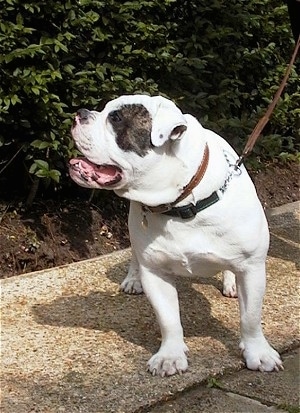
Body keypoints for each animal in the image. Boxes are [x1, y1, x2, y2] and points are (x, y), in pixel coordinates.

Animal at [69, 95, 284, 374]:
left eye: (115, 118)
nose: (80, 113)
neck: (182, 204)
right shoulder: (156, 273)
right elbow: (168, 319)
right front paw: (169, 356)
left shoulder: (252, 268)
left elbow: (250, 317)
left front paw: (258, 352)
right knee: (135, 255)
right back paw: (133, 279)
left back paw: (230, 282)